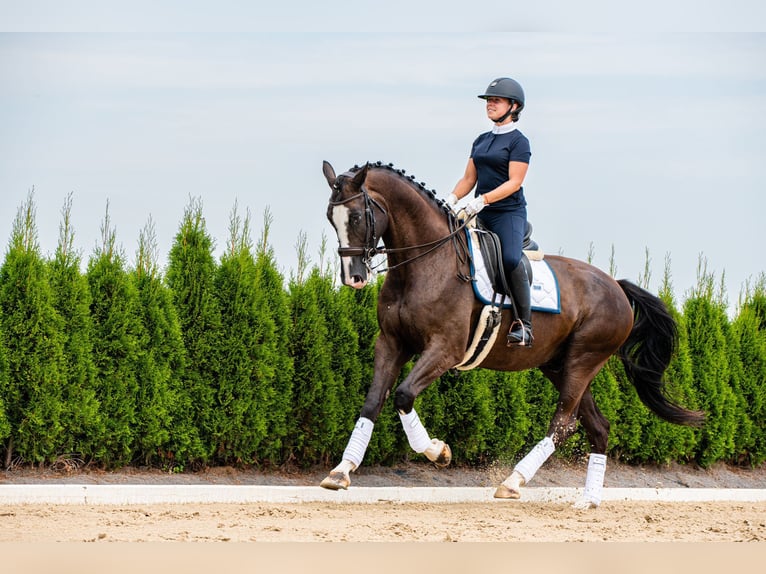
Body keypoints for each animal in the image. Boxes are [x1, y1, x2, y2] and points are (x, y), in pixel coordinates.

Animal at [320, 161, 708, 508]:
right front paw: (341, 472)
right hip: (559, 365)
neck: (425, 264)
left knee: (563, 423)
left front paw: (439, 452)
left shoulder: (444, 349)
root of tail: (616, 286)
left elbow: (402, 395)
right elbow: (373, 402)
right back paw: (588, 501)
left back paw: (512, 481)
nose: (354, 277)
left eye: (357, 217)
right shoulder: (391, 343)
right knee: (598, 427)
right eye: (330, 218)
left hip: (584, 359)